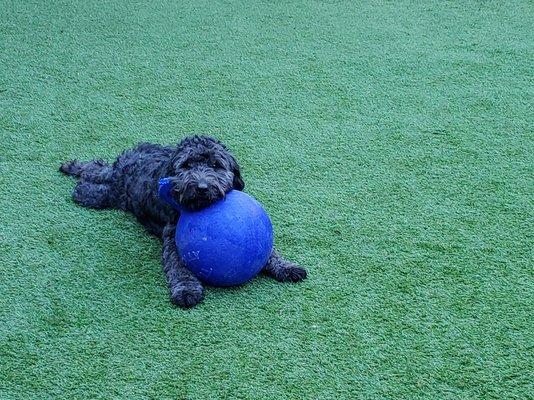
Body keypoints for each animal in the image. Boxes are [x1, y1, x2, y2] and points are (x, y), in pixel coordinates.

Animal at [60, 136, 308, 308]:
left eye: (216, 165)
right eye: (187, 165)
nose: (202, 187)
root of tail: (133, 155)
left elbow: (270, 251)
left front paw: (286, 266)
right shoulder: (172, 237)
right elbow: (179, 267)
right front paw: (187, 290)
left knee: (98, 167)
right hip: (116, 192)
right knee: (97, 179)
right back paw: (79, 183)